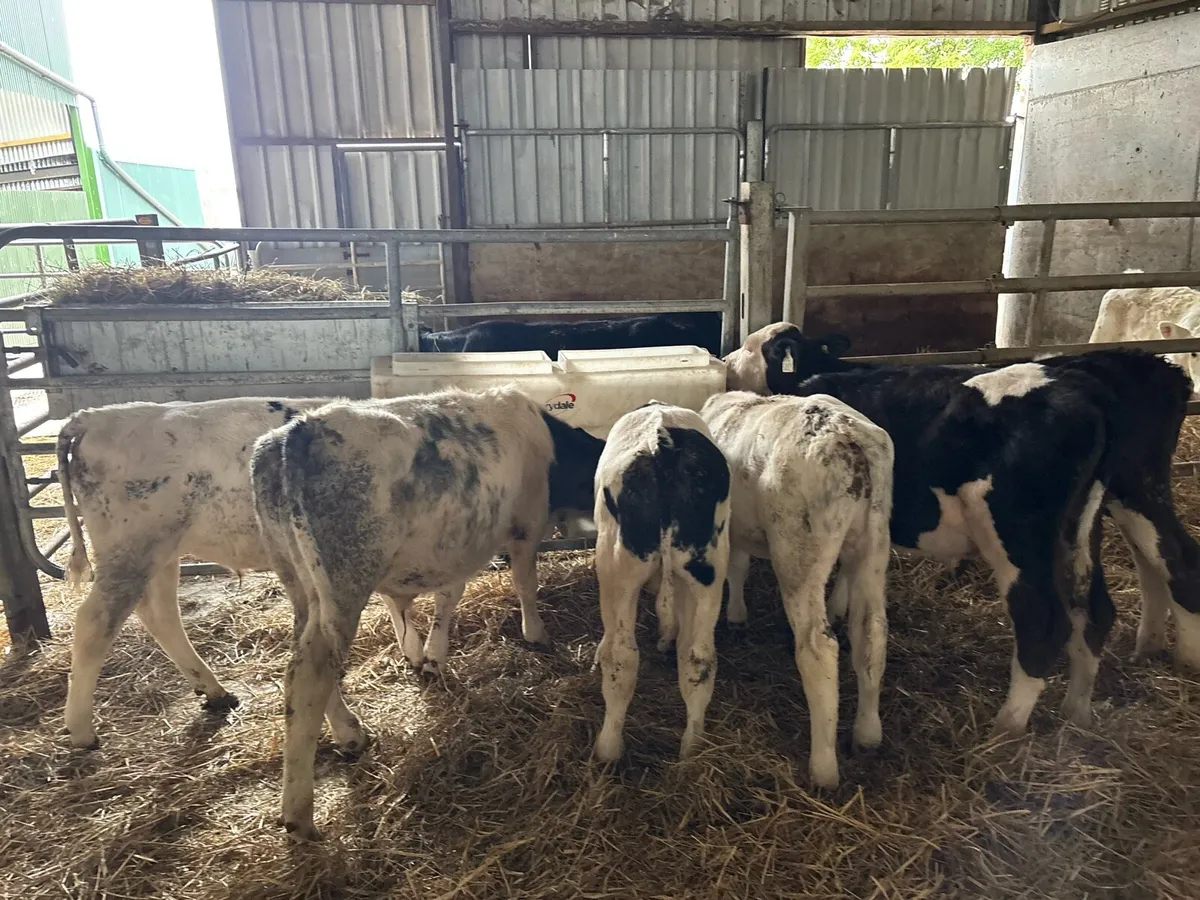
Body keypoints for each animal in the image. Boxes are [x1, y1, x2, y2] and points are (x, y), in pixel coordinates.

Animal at [249, 385, 605, 841]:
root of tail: (294, 435)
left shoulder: (455, 548)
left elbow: (447, 597)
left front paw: (430, 656)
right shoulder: (526, 523)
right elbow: (525, 581)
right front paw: (536, 632)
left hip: (300, 584)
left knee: (307, 662)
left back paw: (349, 734)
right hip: (344, 582)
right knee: (309, 676)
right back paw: (300, 813)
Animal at [591, 402, 731, 764]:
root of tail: (663, 443)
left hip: (618, 565)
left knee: (622, 657)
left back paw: (607, 749)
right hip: (708, 570)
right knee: (699, 658)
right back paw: (692, 750)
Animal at [697, 390, 893, 789]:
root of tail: (848, 438)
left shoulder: (731, 529)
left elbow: (736, 567)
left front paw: (735, 616)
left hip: (797, 548)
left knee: (818, 648)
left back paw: (823, 768)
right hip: (874, 541)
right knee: (871, 633)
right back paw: (867, 735)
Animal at [726, 322, 1200, 739]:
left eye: (752, 348)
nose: (728, 359)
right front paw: (840, 607)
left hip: (1020, 530)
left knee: (1047, 618)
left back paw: (1005, 729)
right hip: (1097, 515)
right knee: (1109, 600)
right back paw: (1080, 710)